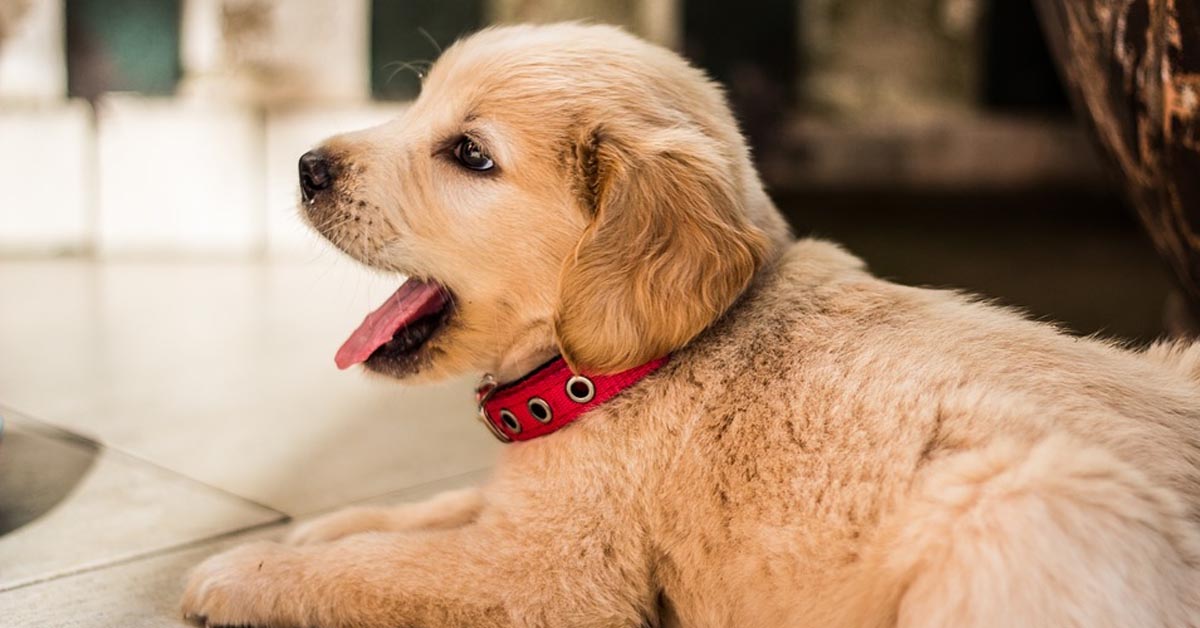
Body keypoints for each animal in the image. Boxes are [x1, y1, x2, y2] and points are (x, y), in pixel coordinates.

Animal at [180, 22, 1200, 624]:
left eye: (469, 154)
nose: (307, 165)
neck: (616, 370)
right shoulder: (527, 509)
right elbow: (423, 512)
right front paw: (323, 527)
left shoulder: (546, 573)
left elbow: (387, 569)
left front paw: (243, 573)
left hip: (1015, 503)